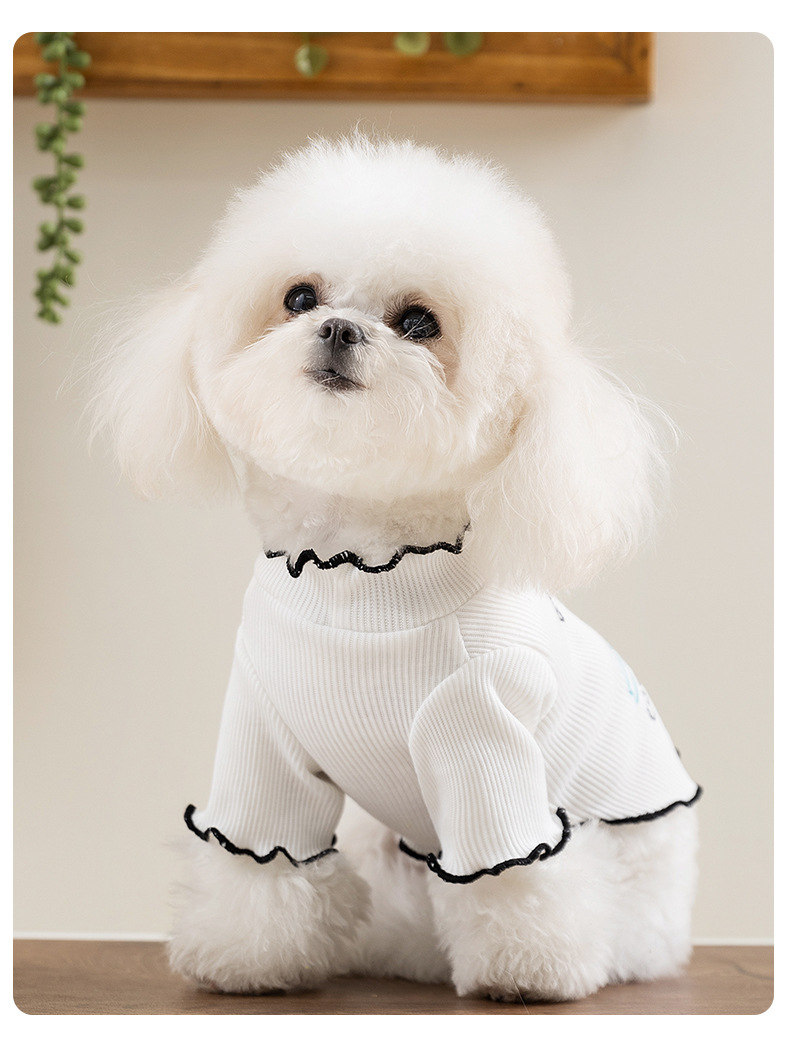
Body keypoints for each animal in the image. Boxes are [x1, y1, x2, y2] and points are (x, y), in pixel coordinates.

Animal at [89, 134, 699, 1002]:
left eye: (419, 321)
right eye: (299, 297)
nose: (340, 329)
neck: (358, 570)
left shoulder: (483, 734)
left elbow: (514, 872)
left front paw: (528, 968)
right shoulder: (261, 729)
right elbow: (262, 853)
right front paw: (245, 954)